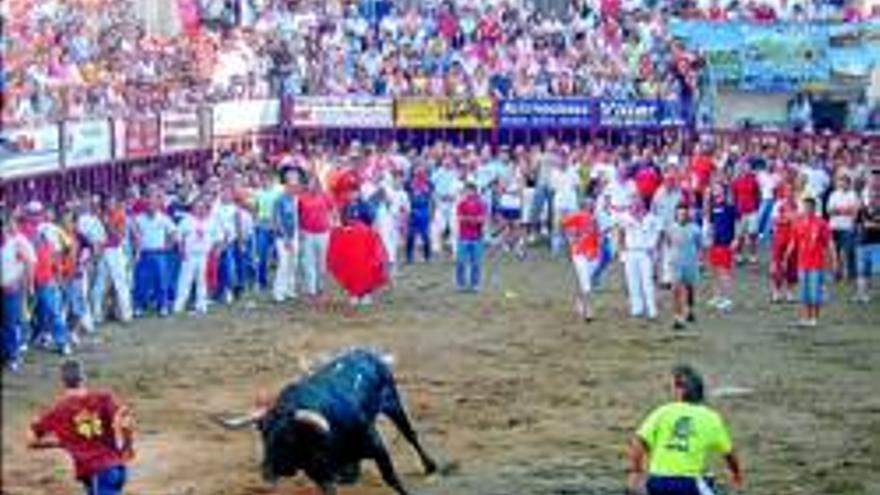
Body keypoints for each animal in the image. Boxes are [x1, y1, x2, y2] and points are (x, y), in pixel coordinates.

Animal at [218, 350, 438, 494]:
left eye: (289, 437)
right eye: (263, 434)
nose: (267, 473)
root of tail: (368, 353)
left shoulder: (377, 447)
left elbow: (392, 479)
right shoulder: (319, 474)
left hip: (392, 402)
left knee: (410, 435)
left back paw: (430, 466)